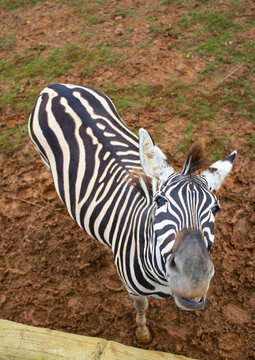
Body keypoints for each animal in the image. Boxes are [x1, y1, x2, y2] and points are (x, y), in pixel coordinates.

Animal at [27, 83, 235, 342]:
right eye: (159, 201)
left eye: (215, 208)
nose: (193, 279)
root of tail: (55, 87)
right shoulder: (134, 291)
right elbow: (142, 307)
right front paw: (142, 332)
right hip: (45, 158)